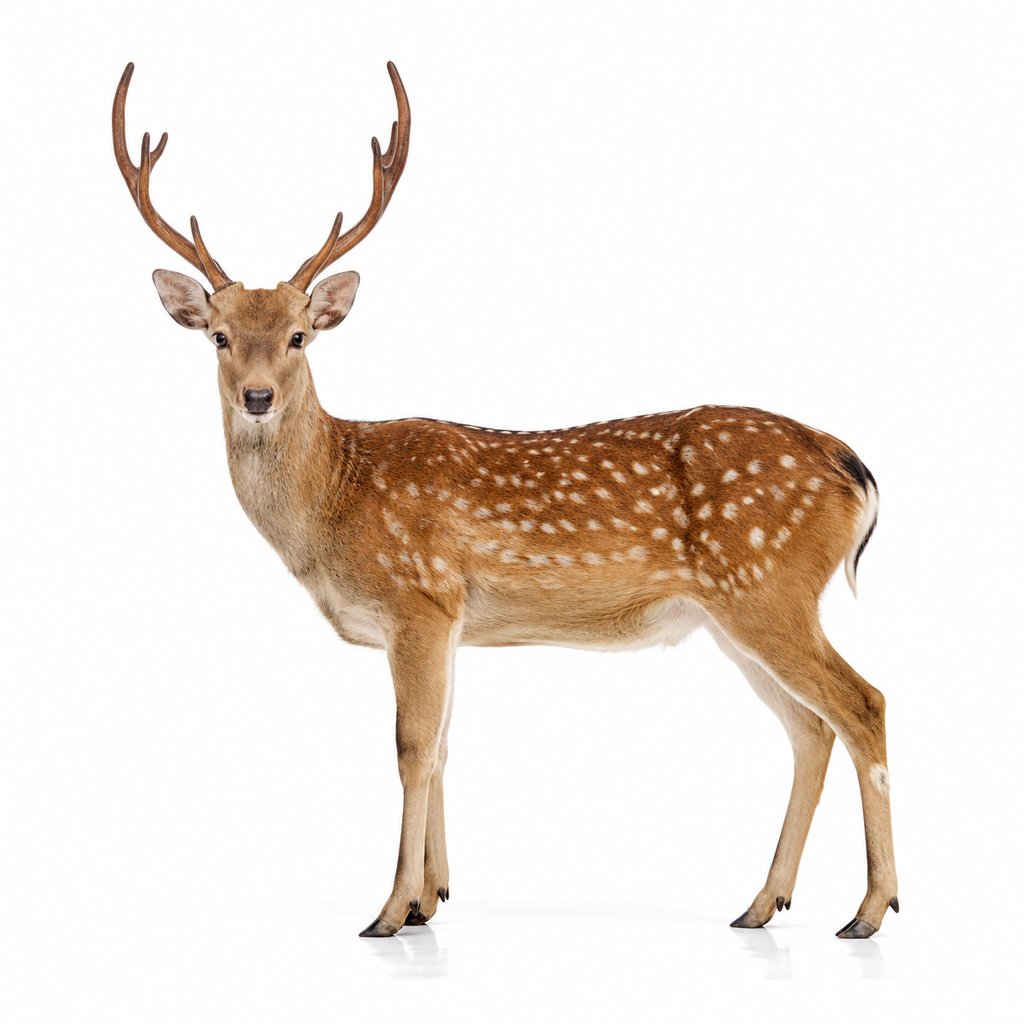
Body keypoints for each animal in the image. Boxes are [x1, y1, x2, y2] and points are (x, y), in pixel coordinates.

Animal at [113, 61, 898, 940]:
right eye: (217, 335)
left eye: (298, 336)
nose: (256, 396)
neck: (336, 500)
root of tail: (849, 465)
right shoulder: (452, 622)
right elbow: (445, 747)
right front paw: (431, 899)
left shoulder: (419, 597)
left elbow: (411, 748)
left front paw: (388, 910)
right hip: (737, 613)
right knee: (810, 729)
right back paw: (763, 903)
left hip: (769, 586)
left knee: (863, 704)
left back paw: (870, 909)